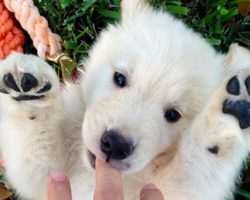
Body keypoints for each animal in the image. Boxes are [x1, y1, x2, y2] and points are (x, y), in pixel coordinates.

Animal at [0, 0, 250, 200]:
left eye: (173, 115)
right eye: (119, 78)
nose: (116, 144)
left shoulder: (175, 191)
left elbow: (195, 170)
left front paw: (221, 127)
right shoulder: (48, 177)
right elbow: (35, 152)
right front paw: (29, 88)